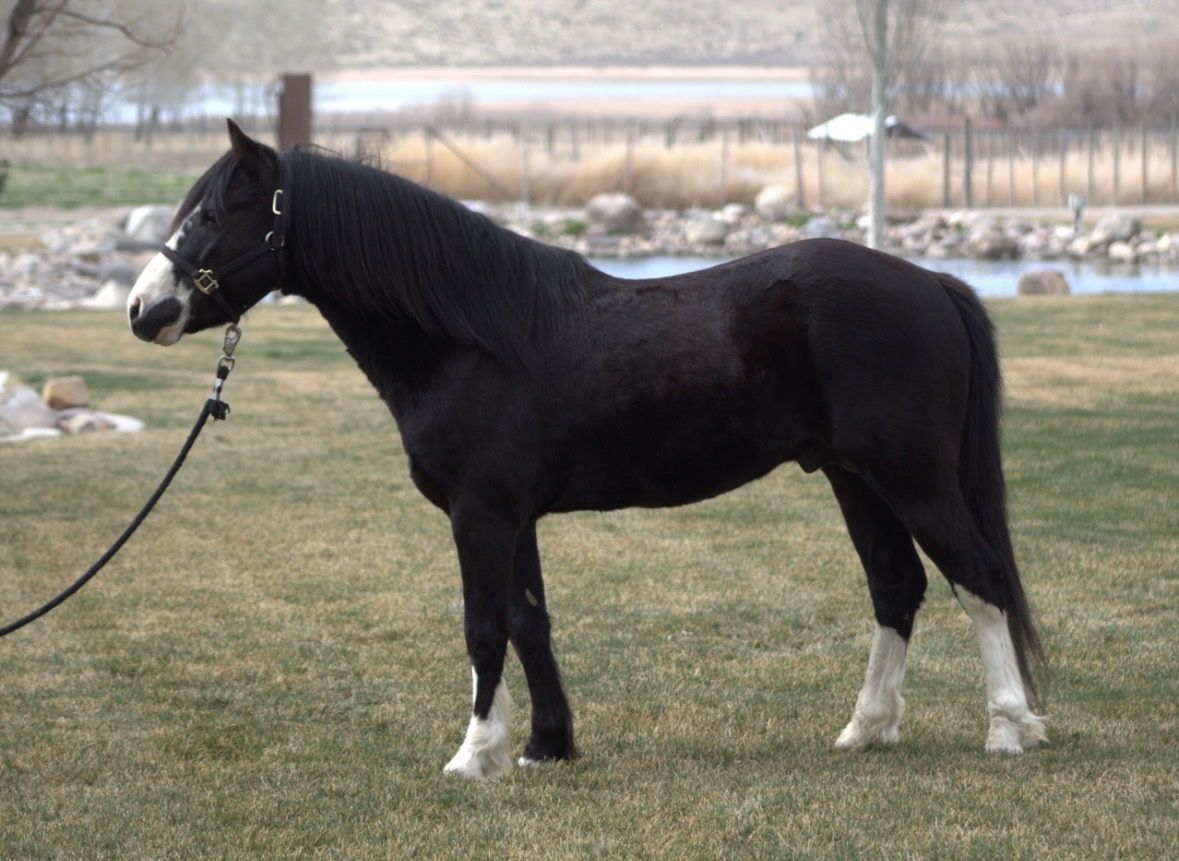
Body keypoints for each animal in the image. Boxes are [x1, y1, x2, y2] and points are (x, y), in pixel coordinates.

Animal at [127, 120, 1047, 778]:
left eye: (212, 214)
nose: (143, 310)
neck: (469, 336)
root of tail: (930, 282)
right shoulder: (514, 515)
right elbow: (530, 621)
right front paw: (543, 745)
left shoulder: (480, 513)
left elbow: (483, 627)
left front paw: (473, 755)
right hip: (856, 479)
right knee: (897, 587)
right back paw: (865, 727)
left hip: (911, 476)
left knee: (977, 577)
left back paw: (1009, 727)